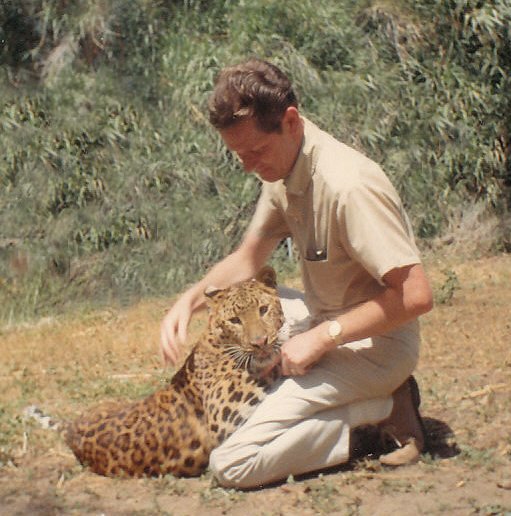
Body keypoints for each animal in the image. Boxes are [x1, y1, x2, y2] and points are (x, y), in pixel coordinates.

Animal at [63, 268, 284, 478]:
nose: (259, 342)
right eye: (235, 320)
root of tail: (69, 431)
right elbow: (256, 370)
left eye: (263, 310)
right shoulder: (221, 410)